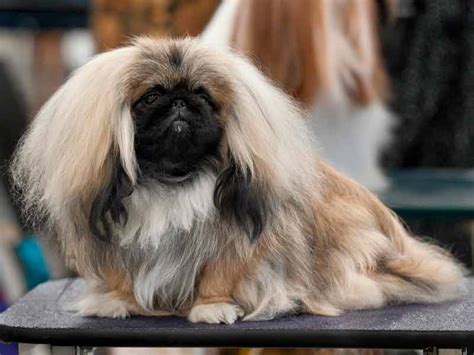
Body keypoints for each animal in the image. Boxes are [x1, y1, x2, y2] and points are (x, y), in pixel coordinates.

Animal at [12, 37, 466, 324]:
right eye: (152, 96)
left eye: (202, 95)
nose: (180, 103)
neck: (174, 177)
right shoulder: (119, 242)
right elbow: (123, 276)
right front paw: (117, 303)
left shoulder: (232, 244)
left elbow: (218, 278)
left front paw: (212, 309)